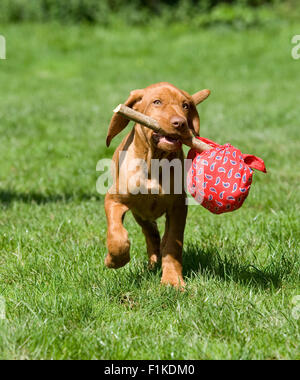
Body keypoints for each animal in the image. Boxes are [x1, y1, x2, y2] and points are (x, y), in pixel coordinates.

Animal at [105, 81, 211, 288]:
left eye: (185, 105)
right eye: (157, 102)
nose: (180, 123)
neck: (154, 160)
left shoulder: (178, 207)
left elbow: (173, 243)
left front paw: (172, 280)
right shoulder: (113, 200)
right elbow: (117, 235)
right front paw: (115, 259)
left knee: (156, 235)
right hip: (140, 214)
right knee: (150, 232)